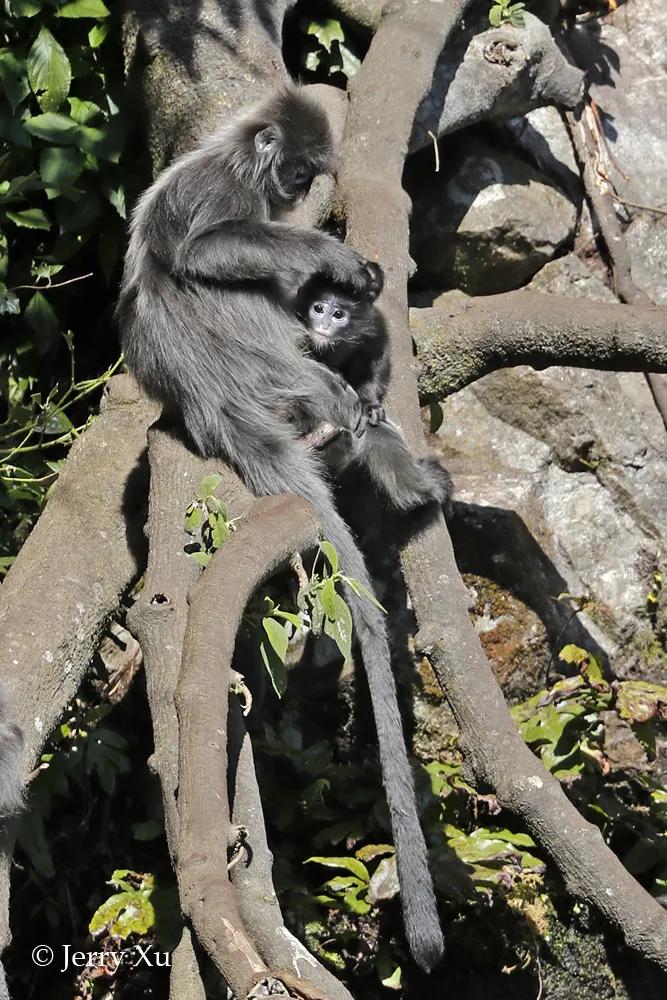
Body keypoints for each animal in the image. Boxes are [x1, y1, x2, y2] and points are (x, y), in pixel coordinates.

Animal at [296, 270, 454, 512]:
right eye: (318, 309)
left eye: (338, 314)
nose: (323, 324)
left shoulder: (374, 323)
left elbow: (376, 357)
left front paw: (370, 405)